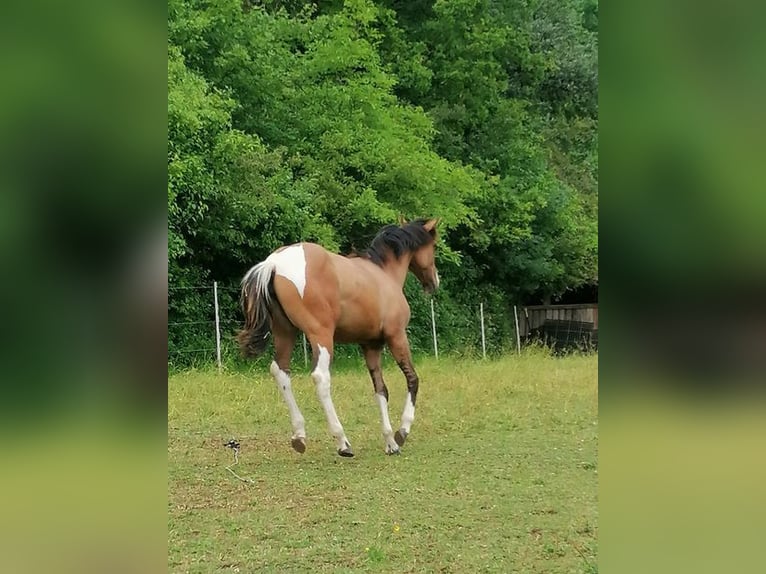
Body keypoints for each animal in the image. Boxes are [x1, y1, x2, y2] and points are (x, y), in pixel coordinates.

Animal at [237, 218, 440, 457]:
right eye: (433, 246)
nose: (434, 281)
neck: (382, 274)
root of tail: (275, 264)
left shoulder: (370, 346)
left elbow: (381, 390)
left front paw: (390, 442)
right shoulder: (396, 336)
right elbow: (412, 379)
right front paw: (402, 432)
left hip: (285, 333)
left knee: (281, 372)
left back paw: (299, 436)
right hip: (321, 336)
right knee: (320, 378)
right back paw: (342, 442)